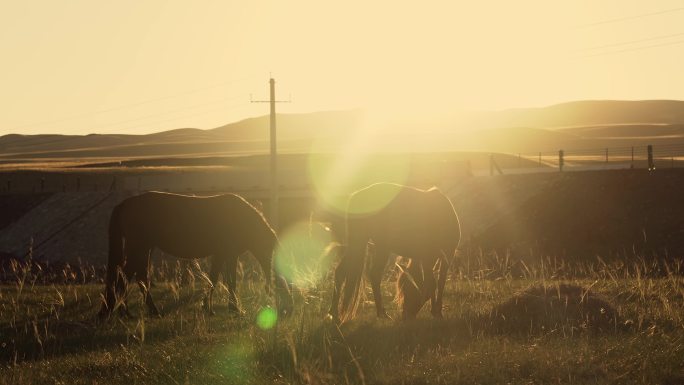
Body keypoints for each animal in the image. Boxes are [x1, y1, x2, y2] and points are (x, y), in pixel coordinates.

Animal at [98, 191, 292, 318]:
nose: (288, 309)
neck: (241, 219)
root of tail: (124, 204)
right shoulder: (228, 254)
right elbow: (229, 281)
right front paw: (233, 308)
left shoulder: (221, 254)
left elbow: (215, 279)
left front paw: (211, 307)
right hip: (140, 247)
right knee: (128, 275)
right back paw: (133, 311)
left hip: (144, 248)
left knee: (136, 276)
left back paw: (127, 311)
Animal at [328, 183, 460, 320]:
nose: (406, 315)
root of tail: (355, 196)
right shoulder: (430, 258)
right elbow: (433, 283)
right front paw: (436, 311)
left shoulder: (441, 257)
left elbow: (439, 281)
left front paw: (436, 311)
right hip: (370, 245)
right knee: (364, 273)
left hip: (368, 245)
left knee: (349, 272)